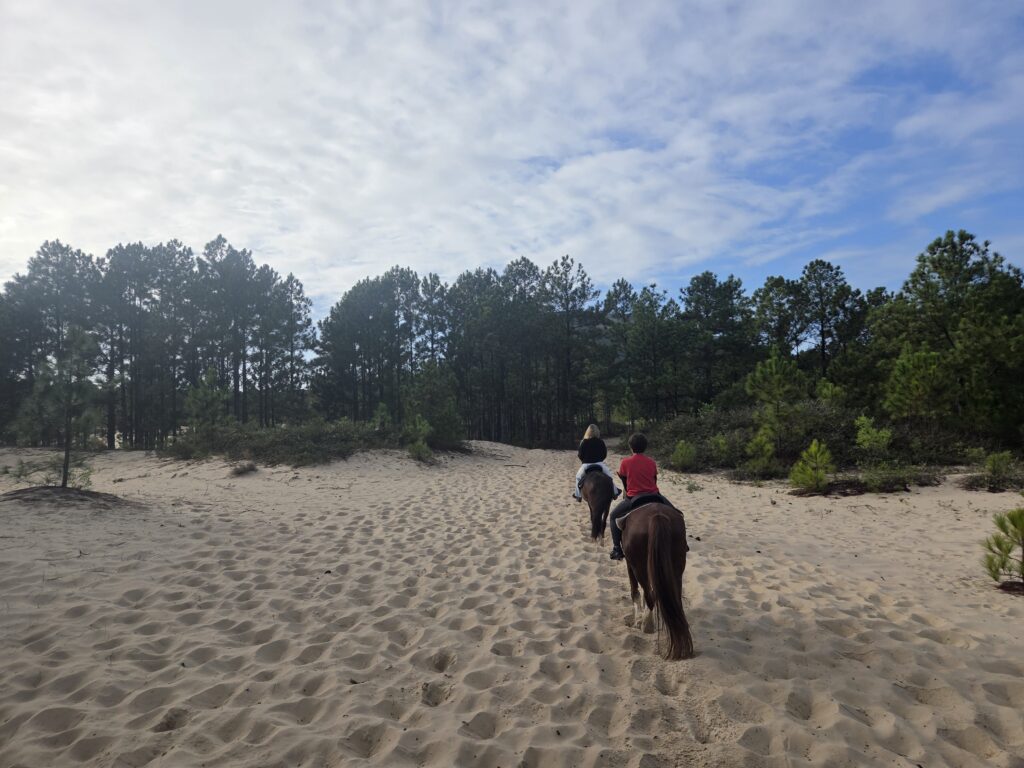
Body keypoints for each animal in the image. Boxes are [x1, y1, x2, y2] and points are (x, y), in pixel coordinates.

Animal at [620, 502, 694, 660]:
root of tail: (657, 516)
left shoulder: (630, 564)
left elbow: (635, 592)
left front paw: (638, 620)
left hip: (638, 566)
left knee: (650, 595)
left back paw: (646, 625)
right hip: (676, 566)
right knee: (672, 598)